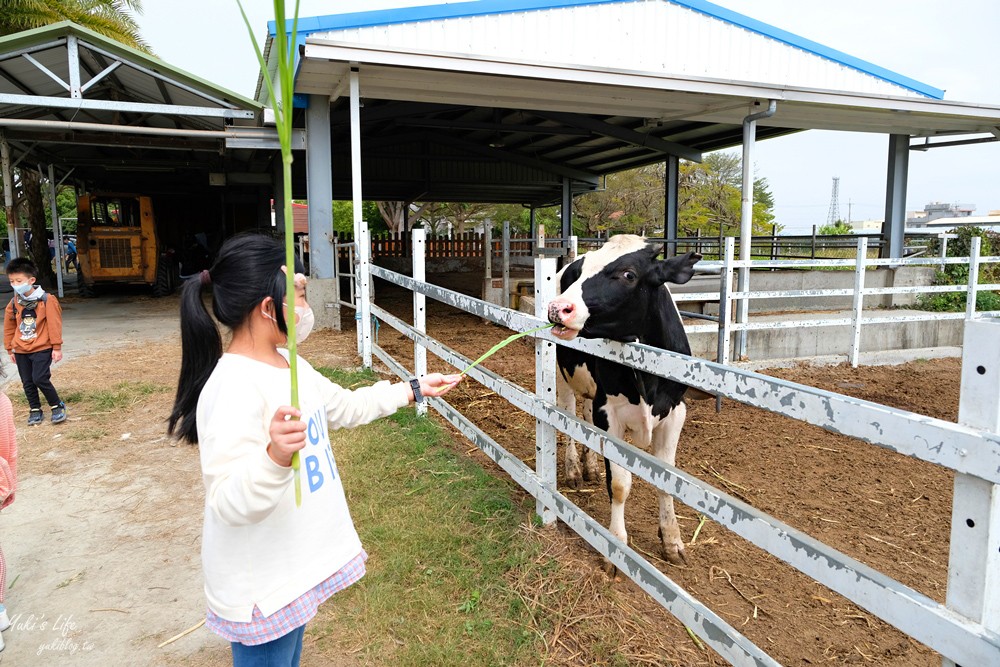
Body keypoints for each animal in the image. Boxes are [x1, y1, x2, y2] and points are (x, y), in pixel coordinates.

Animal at [548, 235, 696, 568]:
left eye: (629, 274)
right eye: (581, 272)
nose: (559, 308)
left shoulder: (675, 412)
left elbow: (666, 480)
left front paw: (672, 540)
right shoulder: (610, 414)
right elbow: (619, 485)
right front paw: (616, 548)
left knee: (585, 416)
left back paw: (589, 466)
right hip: (562, 373)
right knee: (568, 418)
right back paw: (574, 469)